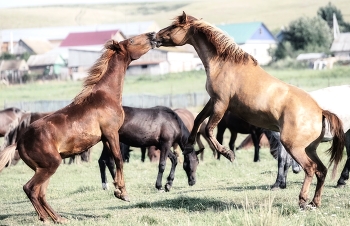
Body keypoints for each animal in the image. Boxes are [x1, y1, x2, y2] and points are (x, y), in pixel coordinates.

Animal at [10, 34, 157, 223]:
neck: (106, 95)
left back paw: (59, 219)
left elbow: (111, 160)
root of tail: (19, 142)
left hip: (44, 168)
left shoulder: (105, 138)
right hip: (50, 166)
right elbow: (119, 159)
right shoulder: (111, 133)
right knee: (30, 188)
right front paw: (123, 193)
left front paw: (116, 189)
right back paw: (46, 219)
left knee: (40, 192)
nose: (152, 36)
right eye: (131, 41)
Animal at [155, 12, 344, 209]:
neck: (223, 64)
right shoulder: (213, 101)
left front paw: (228, 154)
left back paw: (302, 200)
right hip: (310, 149)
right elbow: (199, 119)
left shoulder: (221, 104)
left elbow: (209, 130)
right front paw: (190, 144)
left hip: (295, 147)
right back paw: (315, 202)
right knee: (321, 170)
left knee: (310, 169)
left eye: (174, 26)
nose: (155, 36)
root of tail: (320, 111)